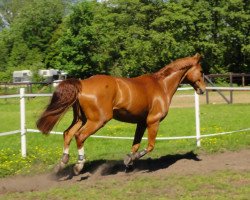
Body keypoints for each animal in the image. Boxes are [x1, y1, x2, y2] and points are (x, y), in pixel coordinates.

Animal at [36, 54, 205, 174]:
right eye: (201, 71)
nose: (203, 90)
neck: (161, 86)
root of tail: (82, 83)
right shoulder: (153, 121)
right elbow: (149, 146)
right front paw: (130, 160)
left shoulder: (141, 123)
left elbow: (135, 145)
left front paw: (129, 162)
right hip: (97, 120)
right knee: (80, 136)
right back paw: (78, 166)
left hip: (81, 119)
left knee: (67, 134)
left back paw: (62, 163)